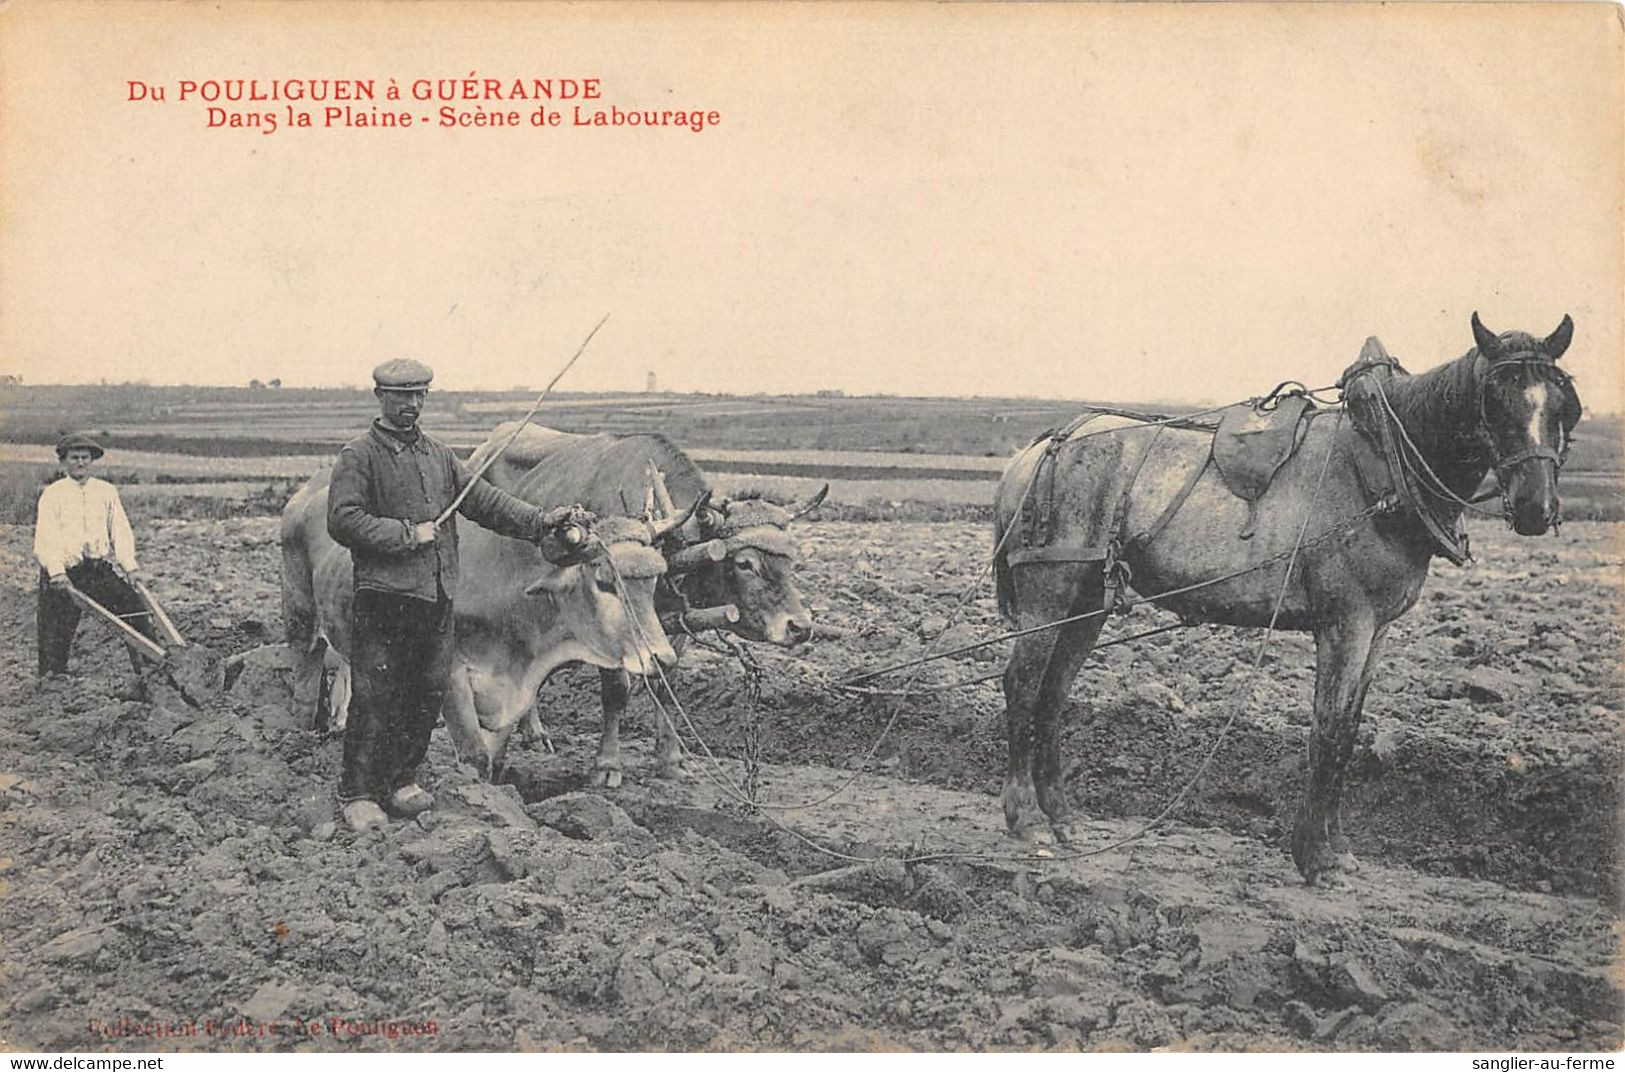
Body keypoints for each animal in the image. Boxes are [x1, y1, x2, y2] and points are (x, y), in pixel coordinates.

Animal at [988, 313, 1586, 883]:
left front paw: (1339, 849)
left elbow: (1349, 732)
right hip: (1049, 593)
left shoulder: (1378, 630)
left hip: (1089, 601)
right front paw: (1314, 857)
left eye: (1563, 405)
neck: (1383, 464)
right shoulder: (1347, 624)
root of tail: (1043, 447)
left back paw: (1062, 816)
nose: (1536, 509)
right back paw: (1027, 817)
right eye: (1495, 400)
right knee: (1022, 684)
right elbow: (1327, 731)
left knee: (1054, 692)